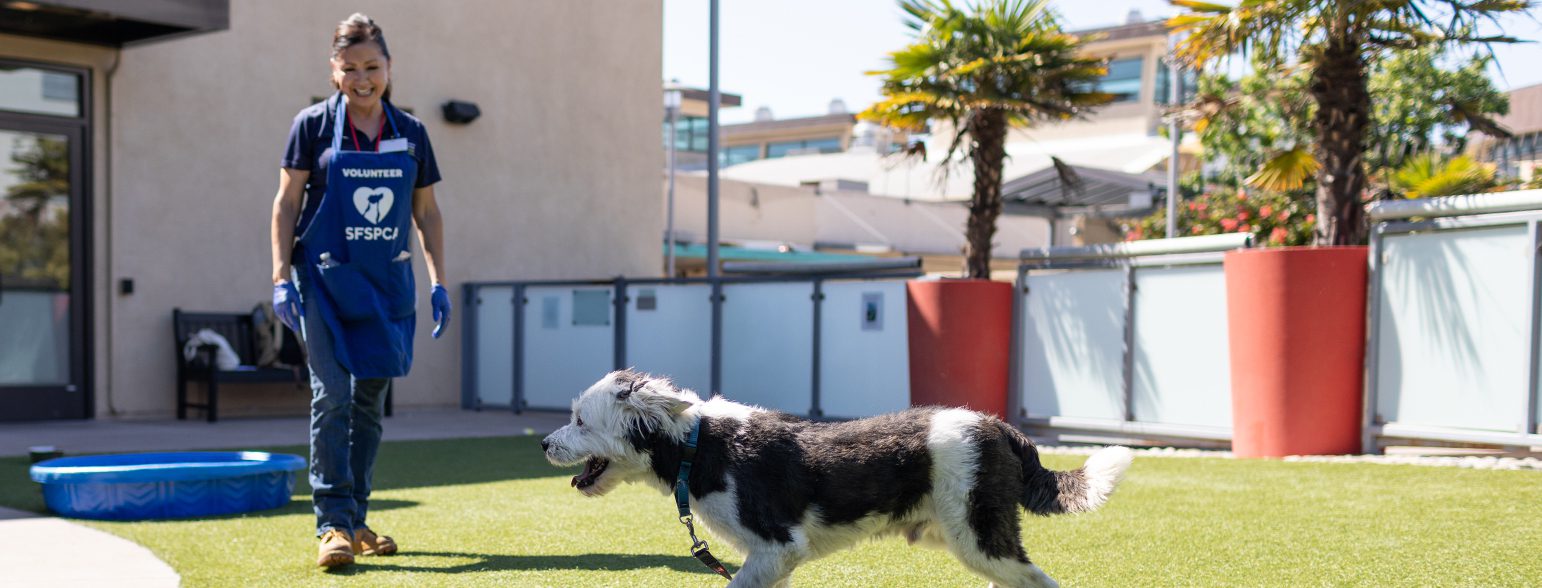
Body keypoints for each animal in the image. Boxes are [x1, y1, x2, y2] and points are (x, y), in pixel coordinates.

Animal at [542, 368, 1134, 583]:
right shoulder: (771, 561)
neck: (696, 445)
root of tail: (1000, 428)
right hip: (962, 537)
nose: (545, 443)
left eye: (579, 420)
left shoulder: (778, 546)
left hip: (980, 533)